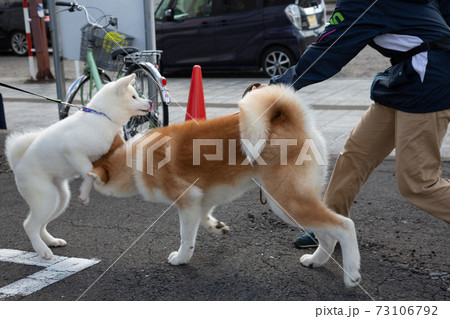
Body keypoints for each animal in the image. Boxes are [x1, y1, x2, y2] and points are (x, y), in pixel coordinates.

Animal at [5, 74, 151, 260]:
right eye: (134, 97)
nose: (151, 102)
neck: (103, 117)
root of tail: (18, 163)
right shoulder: (73, 151)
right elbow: (88, 172)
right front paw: (84, 194)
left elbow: (94, 171)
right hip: (46, 198)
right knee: (29, 225)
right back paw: (43, 250)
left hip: (60, 199)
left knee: (41, 225)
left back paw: (51, 241)